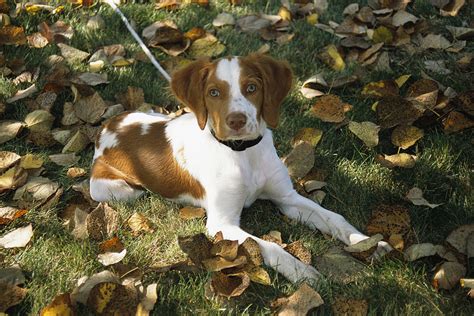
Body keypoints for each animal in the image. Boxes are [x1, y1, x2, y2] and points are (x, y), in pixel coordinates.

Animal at [90, 53, 392, 282]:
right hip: (115, 191)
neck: (243, 152)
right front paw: (302, 272)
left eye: (252, 88)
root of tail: (107, 127)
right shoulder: (222, 223)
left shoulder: (287, 198)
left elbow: (334, 218)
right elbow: (268, 246)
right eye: (213, 92)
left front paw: (368, 242)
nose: (237, 121)